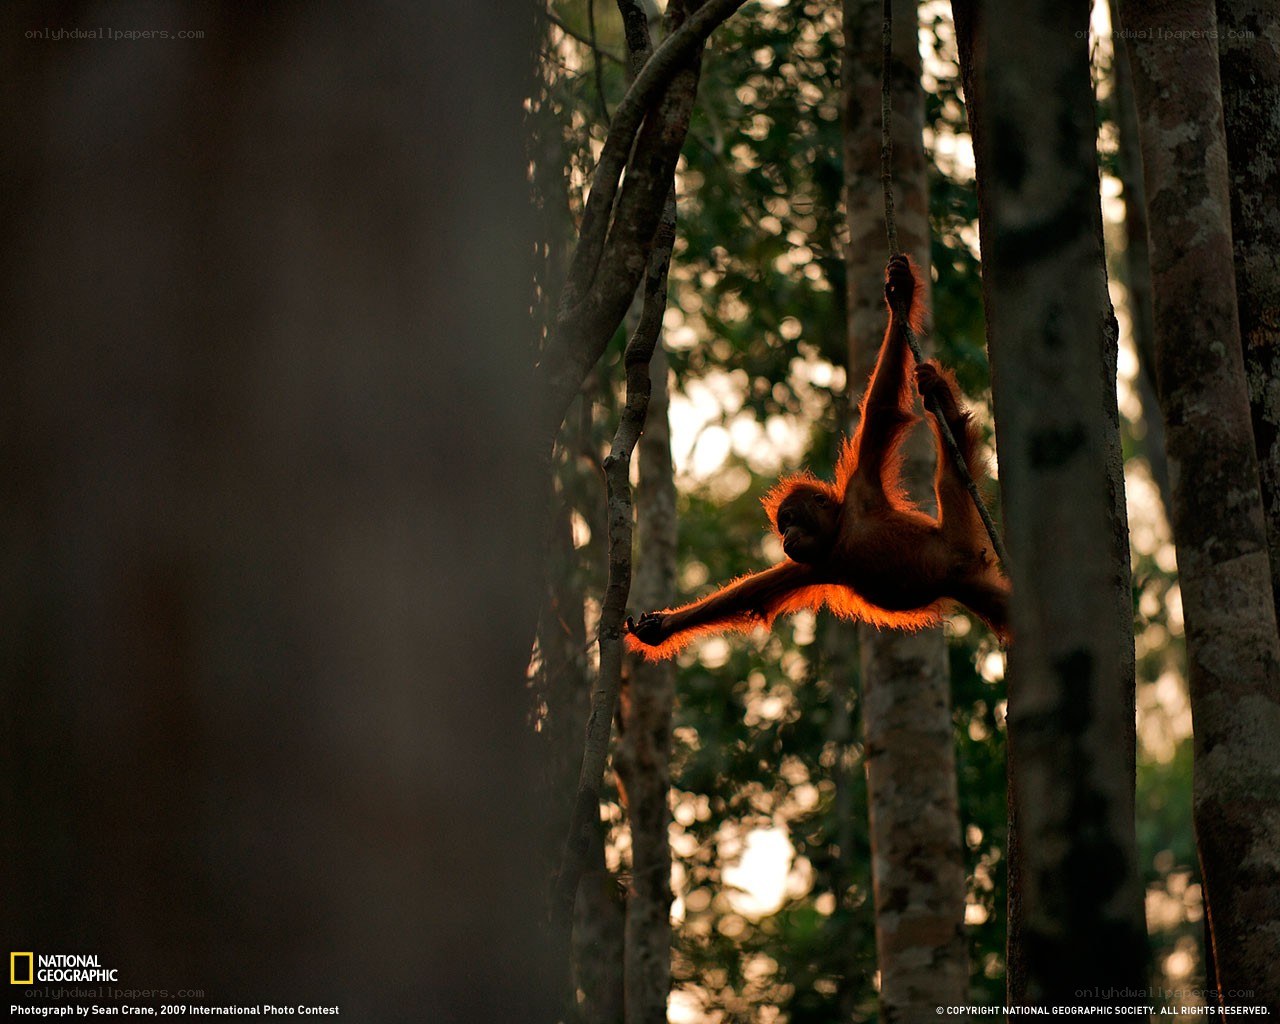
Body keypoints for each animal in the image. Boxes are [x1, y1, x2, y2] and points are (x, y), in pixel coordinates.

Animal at [625, 254, 1009, 660]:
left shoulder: (861, 489)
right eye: (783, 527)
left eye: (791, 520)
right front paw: (660, 627)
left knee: (950, 476)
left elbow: (882, 407)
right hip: (971, 583)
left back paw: (944, 403)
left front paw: (899, 293)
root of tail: (968, 560)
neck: (840, 536)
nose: (786, 537)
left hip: (959, 533)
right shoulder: (813, 565)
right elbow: (748, 595)